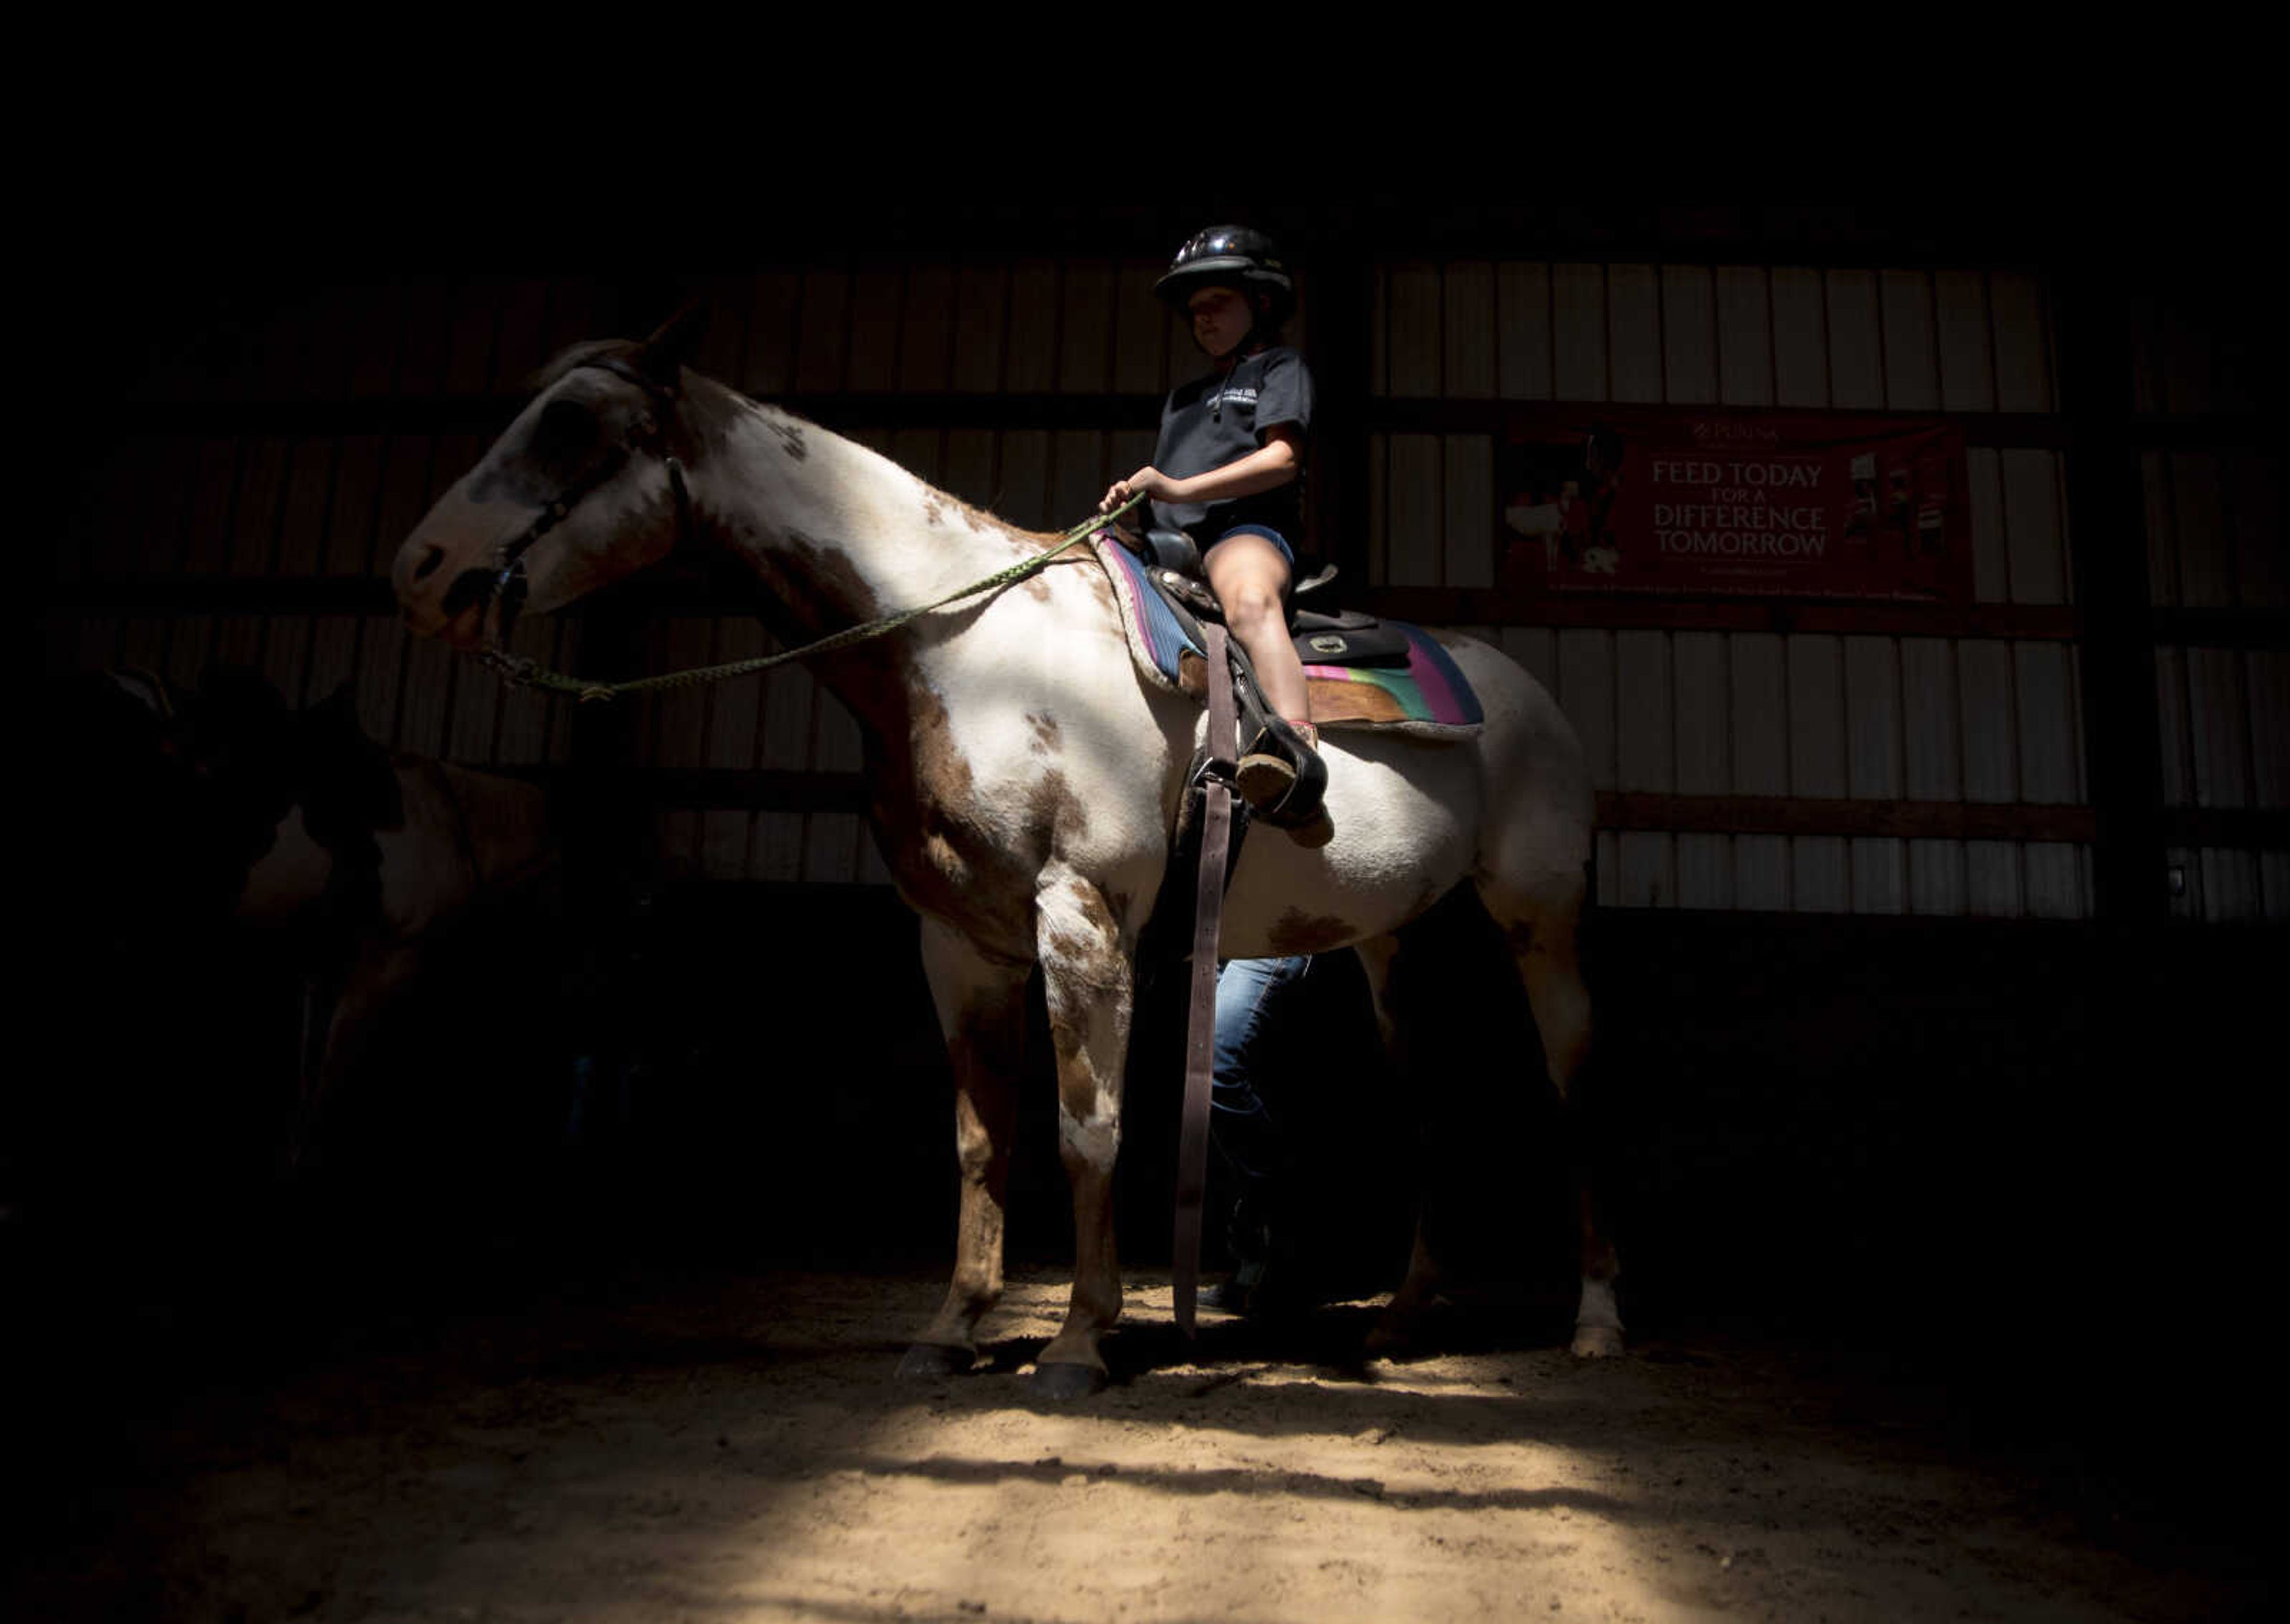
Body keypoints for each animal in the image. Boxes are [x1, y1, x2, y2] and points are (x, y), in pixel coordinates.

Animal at [394, 314, 1612, 1392]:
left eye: (572, 424)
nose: (420, 569)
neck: (971, 650)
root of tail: (1532, 692)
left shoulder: (1081, 921)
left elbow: (1086, 1130)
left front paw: (1080, 1341)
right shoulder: (959, 940)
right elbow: (982, 1143)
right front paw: (952, 1328)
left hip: (1539, 921)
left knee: (1573, 1083)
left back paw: (1595, 1322)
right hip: (1395, 943)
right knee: (1432, 1106)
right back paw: (1400, 1320)